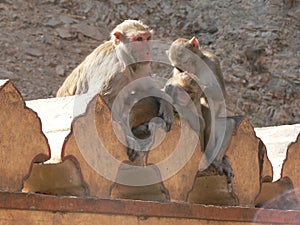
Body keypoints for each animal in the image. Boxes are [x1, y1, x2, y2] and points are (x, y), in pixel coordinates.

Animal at [56, 19, 173, 162]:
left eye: (147, 38)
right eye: (138, 39)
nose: (147, 51)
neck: (124, 56)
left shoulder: (141, 67)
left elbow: (148, 88)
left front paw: (166, 103)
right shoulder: (116, 70)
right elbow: (101, 99)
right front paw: (129, 137)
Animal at [166, 36, 234, 183]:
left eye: (186, 61)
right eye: (178, 68)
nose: (187, 72)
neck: (197, 66)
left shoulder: (213, 62)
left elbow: (220, 94)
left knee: (224, 121)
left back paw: (216, 161)